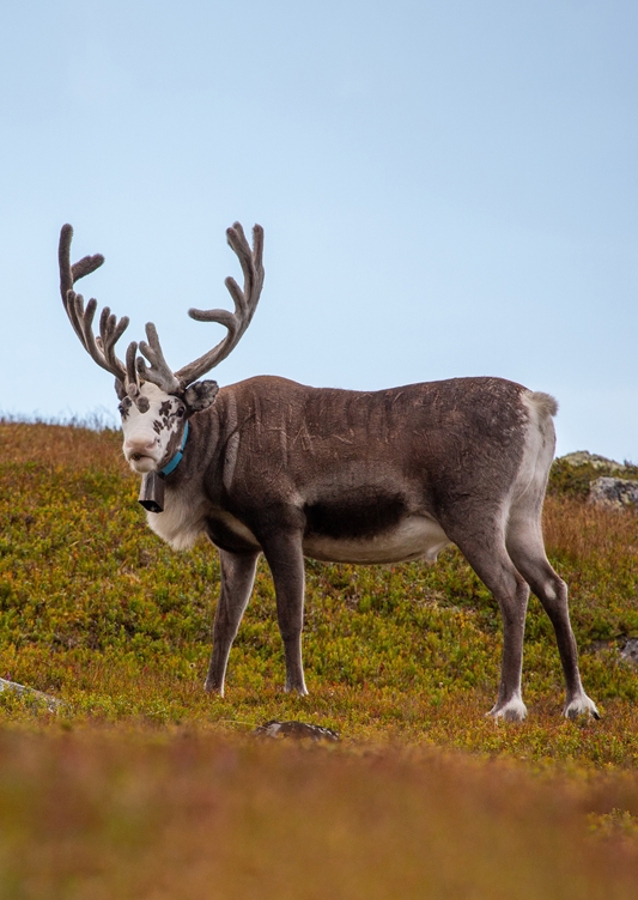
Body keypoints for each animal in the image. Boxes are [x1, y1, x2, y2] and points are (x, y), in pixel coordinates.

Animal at [57, 220, 599, 722]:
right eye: (124, 406)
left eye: (173, 408)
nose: (139, 448)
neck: (215, 456)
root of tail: (536, 404)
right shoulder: (235, 543)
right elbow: (224, 622)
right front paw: (212, 690)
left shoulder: (282, 521)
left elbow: (290, 614)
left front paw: (296, 691)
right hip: (524, 513)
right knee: (554, 586)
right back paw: (578, 703)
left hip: (473, 512)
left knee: (513, 589)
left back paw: (507, 705)